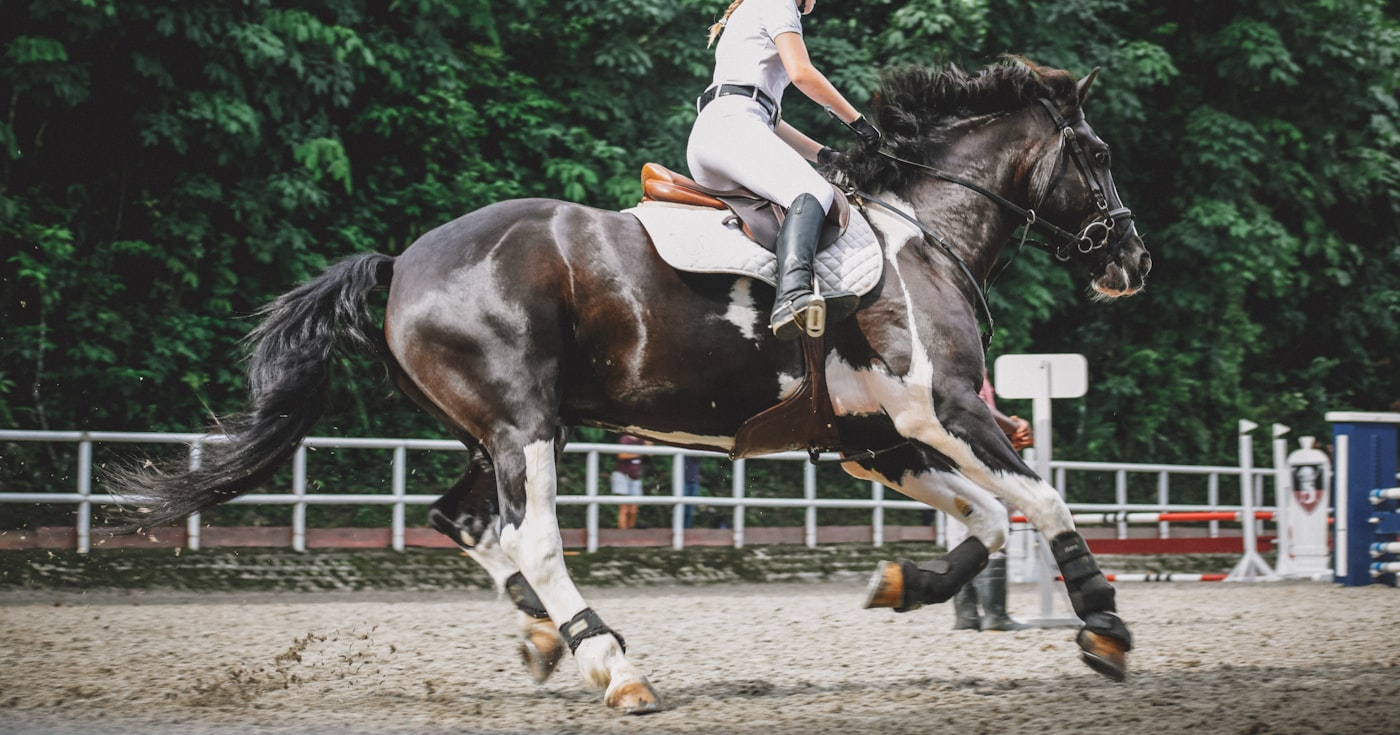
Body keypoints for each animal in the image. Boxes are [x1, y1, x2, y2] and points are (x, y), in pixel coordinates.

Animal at [107, 57, 1151, 714]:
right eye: (1098, 156)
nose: (1133, 262)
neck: (923, 231)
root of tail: (402, 261)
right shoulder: (945, 408)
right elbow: (1043, 499)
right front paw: (1103, 625)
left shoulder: (879, 440)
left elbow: (988, 520)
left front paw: (903, 583)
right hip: (525, 425)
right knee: (529, 537)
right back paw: (612, 664)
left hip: (493, 433)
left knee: (463, 522)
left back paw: (548, 637)